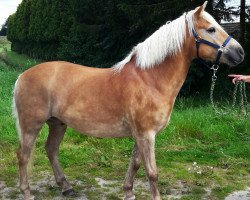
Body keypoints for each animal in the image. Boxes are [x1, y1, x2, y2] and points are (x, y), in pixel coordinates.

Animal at [13, 1, 244, 200]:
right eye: (211, 29)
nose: (240, 52)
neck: (150, 79)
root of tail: (23, 75)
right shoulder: (146, 135)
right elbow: (152, 172)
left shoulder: (140, 135)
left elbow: (135, 164)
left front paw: (128, 192)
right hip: (31, 125)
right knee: (23, 155)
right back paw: (27, 192)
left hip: (57, 123)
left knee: (51, 150)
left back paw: (66, 187)